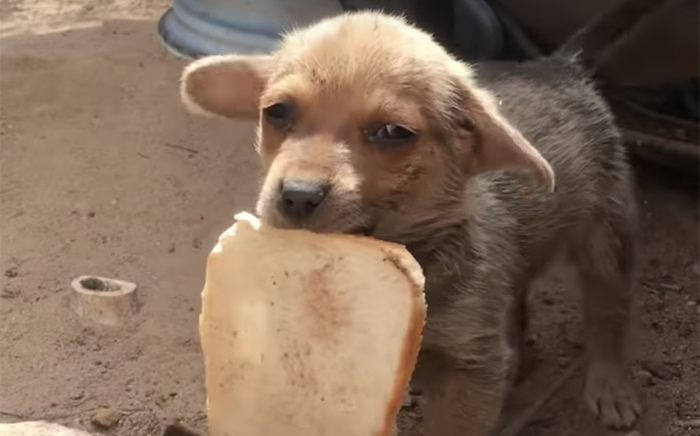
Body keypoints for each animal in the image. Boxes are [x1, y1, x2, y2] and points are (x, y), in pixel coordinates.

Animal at [179, 10, 640, 436]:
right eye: (277, 112)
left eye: (392, 132)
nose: (297, 195)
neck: (416, 250)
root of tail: (558, 65)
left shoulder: (472, 371)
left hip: (605, 237)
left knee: (608, 314)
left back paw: (609, 385)